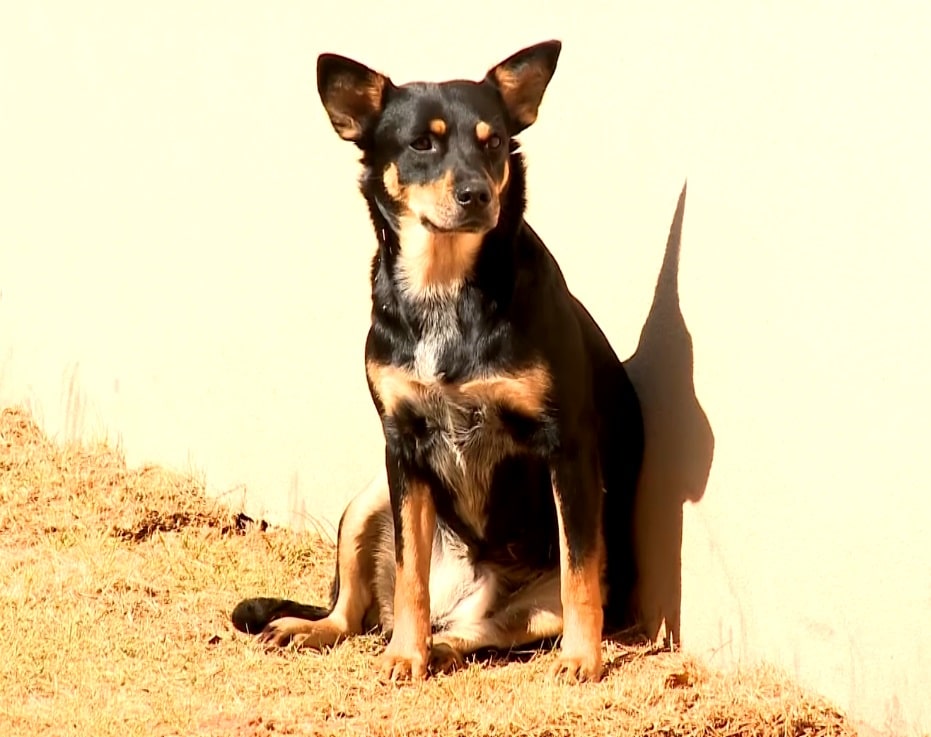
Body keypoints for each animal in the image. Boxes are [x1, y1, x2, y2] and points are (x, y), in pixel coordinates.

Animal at [231, 40, 640, 684]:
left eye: (493, 142)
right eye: (422, 143)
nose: (478, 195)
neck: (443, 287)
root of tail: (468, 595)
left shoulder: (569, 447)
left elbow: (577, 573)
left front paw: (582, 660)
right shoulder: (402, 444)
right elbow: (409, 577)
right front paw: (405, 655)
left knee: (492, 628)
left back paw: (448, 646)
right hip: (369, 498)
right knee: (353, 611)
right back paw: (321, 630)